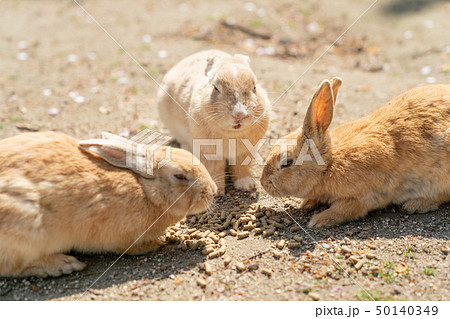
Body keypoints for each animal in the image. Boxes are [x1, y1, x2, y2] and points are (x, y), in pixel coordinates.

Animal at [0, 131, 218, 278]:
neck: (147, 190)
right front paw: (154, 244)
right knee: (14, 267)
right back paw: (63, 264)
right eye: (180, 176)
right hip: (26, 228)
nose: (213, 191)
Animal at [158, 49, 270, 192]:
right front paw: (217, 189)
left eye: (254, 87)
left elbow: (241, 168)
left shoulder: (243, 153)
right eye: (216, 88)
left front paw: (246, 185)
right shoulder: (210, 152)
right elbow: (215, 170)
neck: (232, 133)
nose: (239, 114)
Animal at [260, 79, 450, 230]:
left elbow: (343, 209)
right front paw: (306, 204)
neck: (329, 166)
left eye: (286, 162)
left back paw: (414, 205)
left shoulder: (360, 197)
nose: (263, 183)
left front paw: (318, 221)